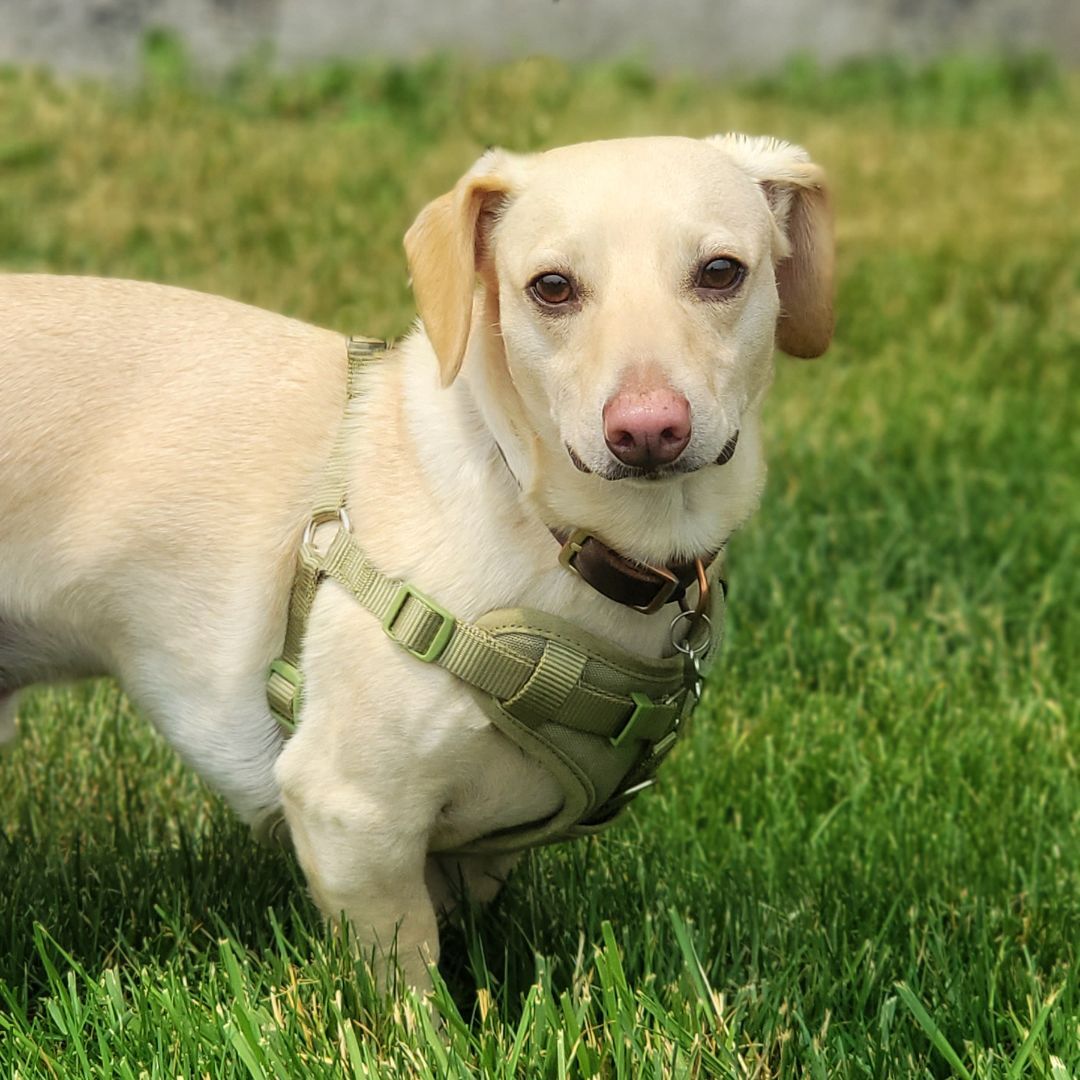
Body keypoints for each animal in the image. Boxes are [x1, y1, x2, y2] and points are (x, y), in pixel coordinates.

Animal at [0, 132, 833, 989]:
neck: (546, 527)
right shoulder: (349, 815)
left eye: (721, 272)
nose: (647, 430)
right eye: (552, 287)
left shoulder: (472, 855)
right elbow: (410, 986)